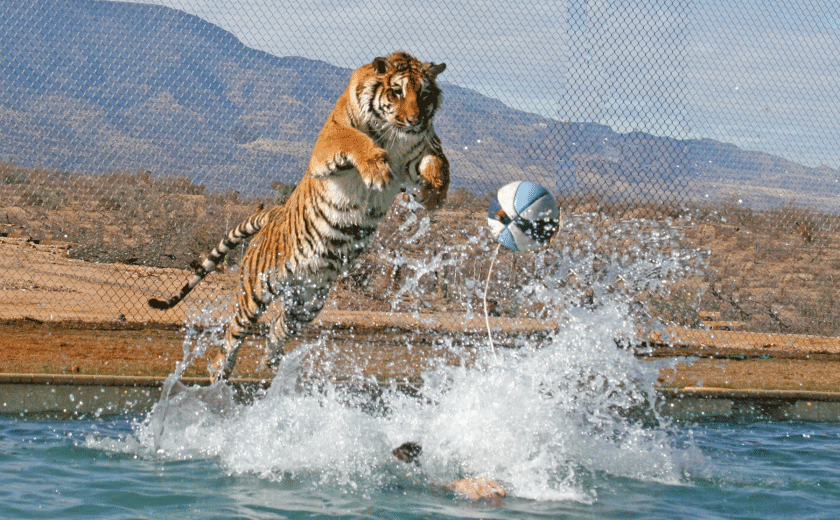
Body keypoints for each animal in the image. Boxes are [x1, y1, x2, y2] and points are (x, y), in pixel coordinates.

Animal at [149, 52, 449, 382]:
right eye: (397, 92)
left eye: (424, 94)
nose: (415, 120)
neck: (394, 137)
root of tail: (273, 213)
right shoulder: (329, 143)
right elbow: (354, 139)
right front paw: (376, 167)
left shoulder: (422, 148)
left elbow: (439, 163)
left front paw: (434, 193)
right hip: (256, 289)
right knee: (231, 338)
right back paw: (220, 376)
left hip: (308, 300)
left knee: (278, 328)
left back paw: (274, 363)